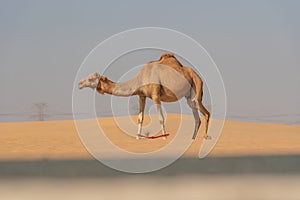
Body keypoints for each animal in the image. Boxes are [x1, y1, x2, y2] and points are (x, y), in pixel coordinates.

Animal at [77, 53, 211, 141]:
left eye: (91, 79)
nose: (79, 83)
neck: (140, 78)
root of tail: (198, 76)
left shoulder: (156, 95)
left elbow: (161, 117)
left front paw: (164, 138)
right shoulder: (141, 95)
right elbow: (140, 118)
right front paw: (137, 138)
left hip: (197, 87)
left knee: (206, 112)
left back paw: (205, 136)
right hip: (189, 95)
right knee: (197, 116)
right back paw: (192, 139)